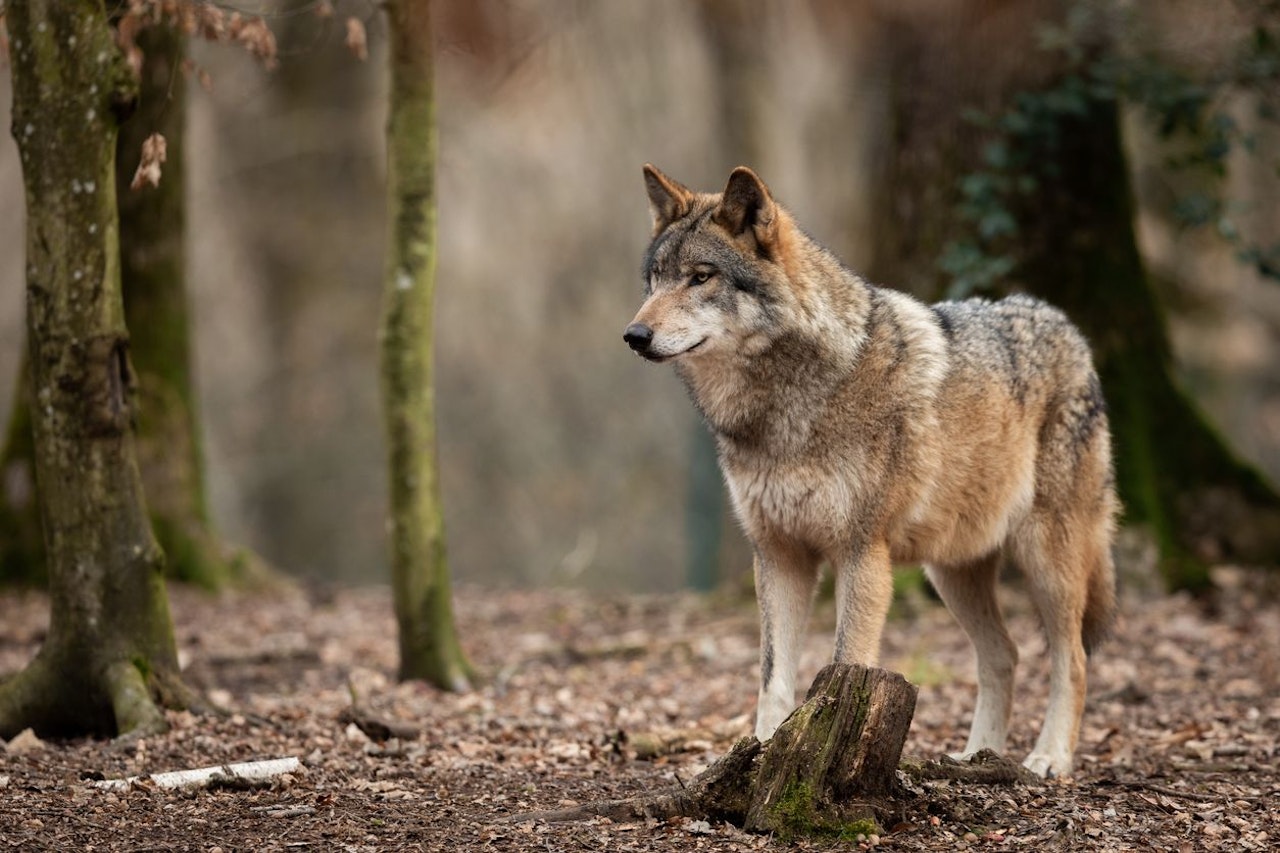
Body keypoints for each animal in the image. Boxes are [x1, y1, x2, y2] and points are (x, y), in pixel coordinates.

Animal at [624, 165, 1118, 777]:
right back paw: (976, 756)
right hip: (951, 572)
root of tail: (1066, 325)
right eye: (655, 280)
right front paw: (761, 756)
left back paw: (1049, 758)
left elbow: (844, 664)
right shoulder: (778, 555)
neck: (785, 408)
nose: (634, 336)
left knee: (1073, 660)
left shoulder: (861, 554)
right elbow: (772, 679)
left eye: (700, 277)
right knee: (1005, 653)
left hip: (1047, 561)